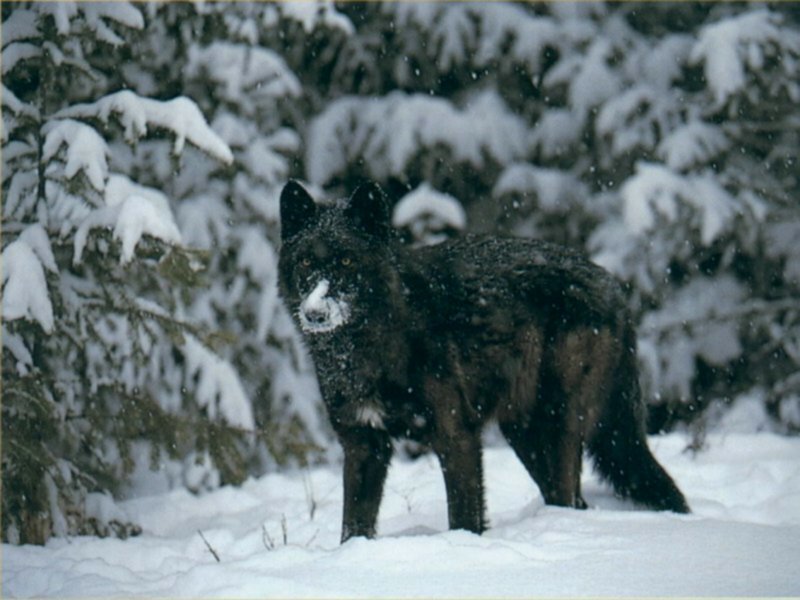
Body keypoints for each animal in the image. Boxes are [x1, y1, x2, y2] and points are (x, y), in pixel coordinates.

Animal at [278, 180, 689, 543]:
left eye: (347, 260)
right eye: (305, 261)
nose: (315, 314)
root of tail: (613, 285)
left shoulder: (455, 435)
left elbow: (463, 518)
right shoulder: (364, 445)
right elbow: (353, 528)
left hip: (558, 425)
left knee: (571, 498)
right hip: (524, 433)